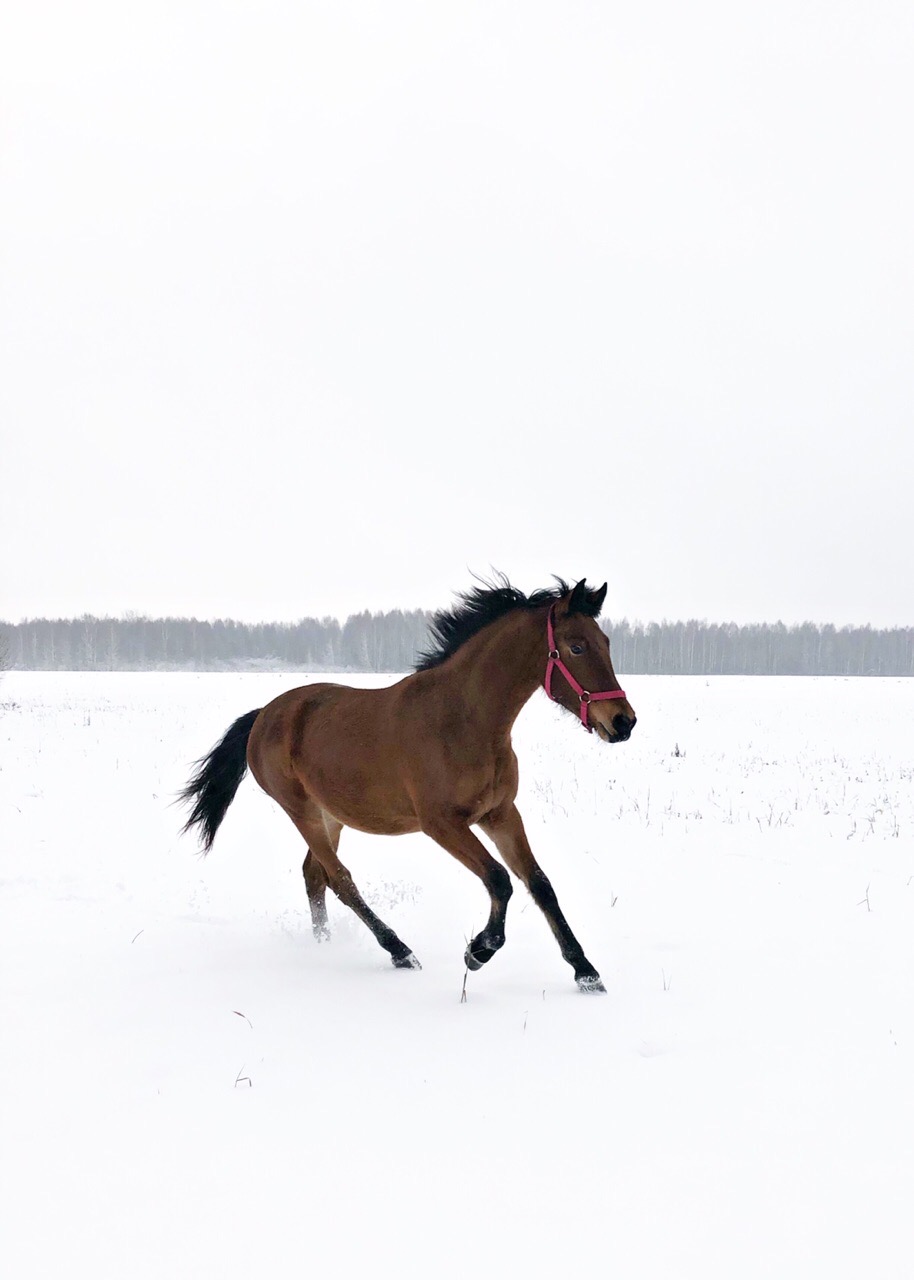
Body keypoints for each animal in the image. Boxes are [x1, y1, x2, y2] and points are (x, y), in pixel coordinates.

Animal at [177, 581, 634, 988]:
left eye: (606, 642)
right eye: (576, 647)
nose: (623, 722)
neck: (465, 721)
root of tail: (264, 714)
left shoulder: (500, 814)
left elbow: (539, 884)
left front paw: (586, 972)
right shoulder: (442, 823)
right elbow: (499, 879)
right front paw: (478, 951)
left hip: (331, 814)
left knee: (314, 875)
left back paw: (325, 944)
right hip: (301, 811)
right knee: (339, 879)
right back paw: (399, 951)